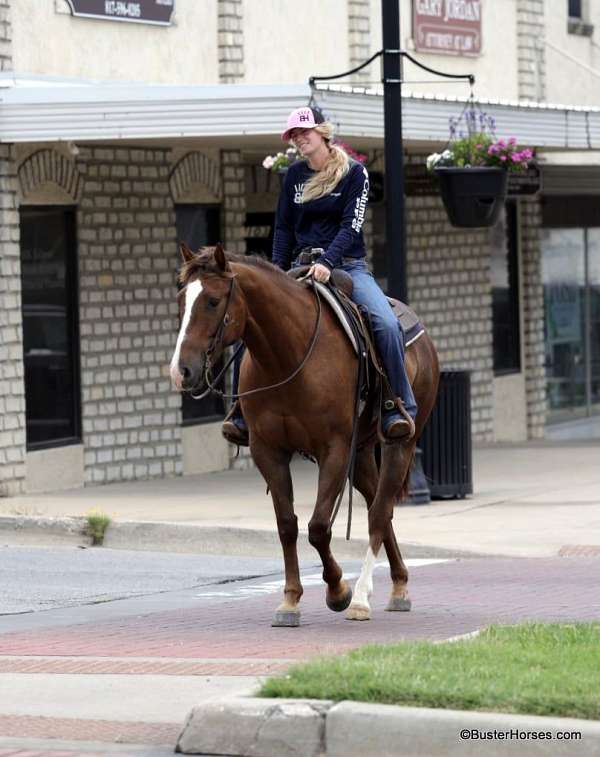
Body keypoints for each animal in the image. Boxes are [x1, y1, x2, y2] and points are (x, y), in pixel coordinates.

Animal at [171, 244, 438, 628]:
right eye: (181, 299)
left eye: (212, 300)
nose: (181, 371)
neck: (288, 356)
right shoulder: (268, 450)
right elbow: (287, 525)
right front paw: (290, 601)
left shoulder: (334, 450)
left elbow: (318, 526)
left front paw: (338, 591)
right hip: (361, 454)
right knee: (380, 508)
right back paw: (399, 584)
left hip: (399, 444)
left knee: (379, 512)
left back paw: (362, 598)